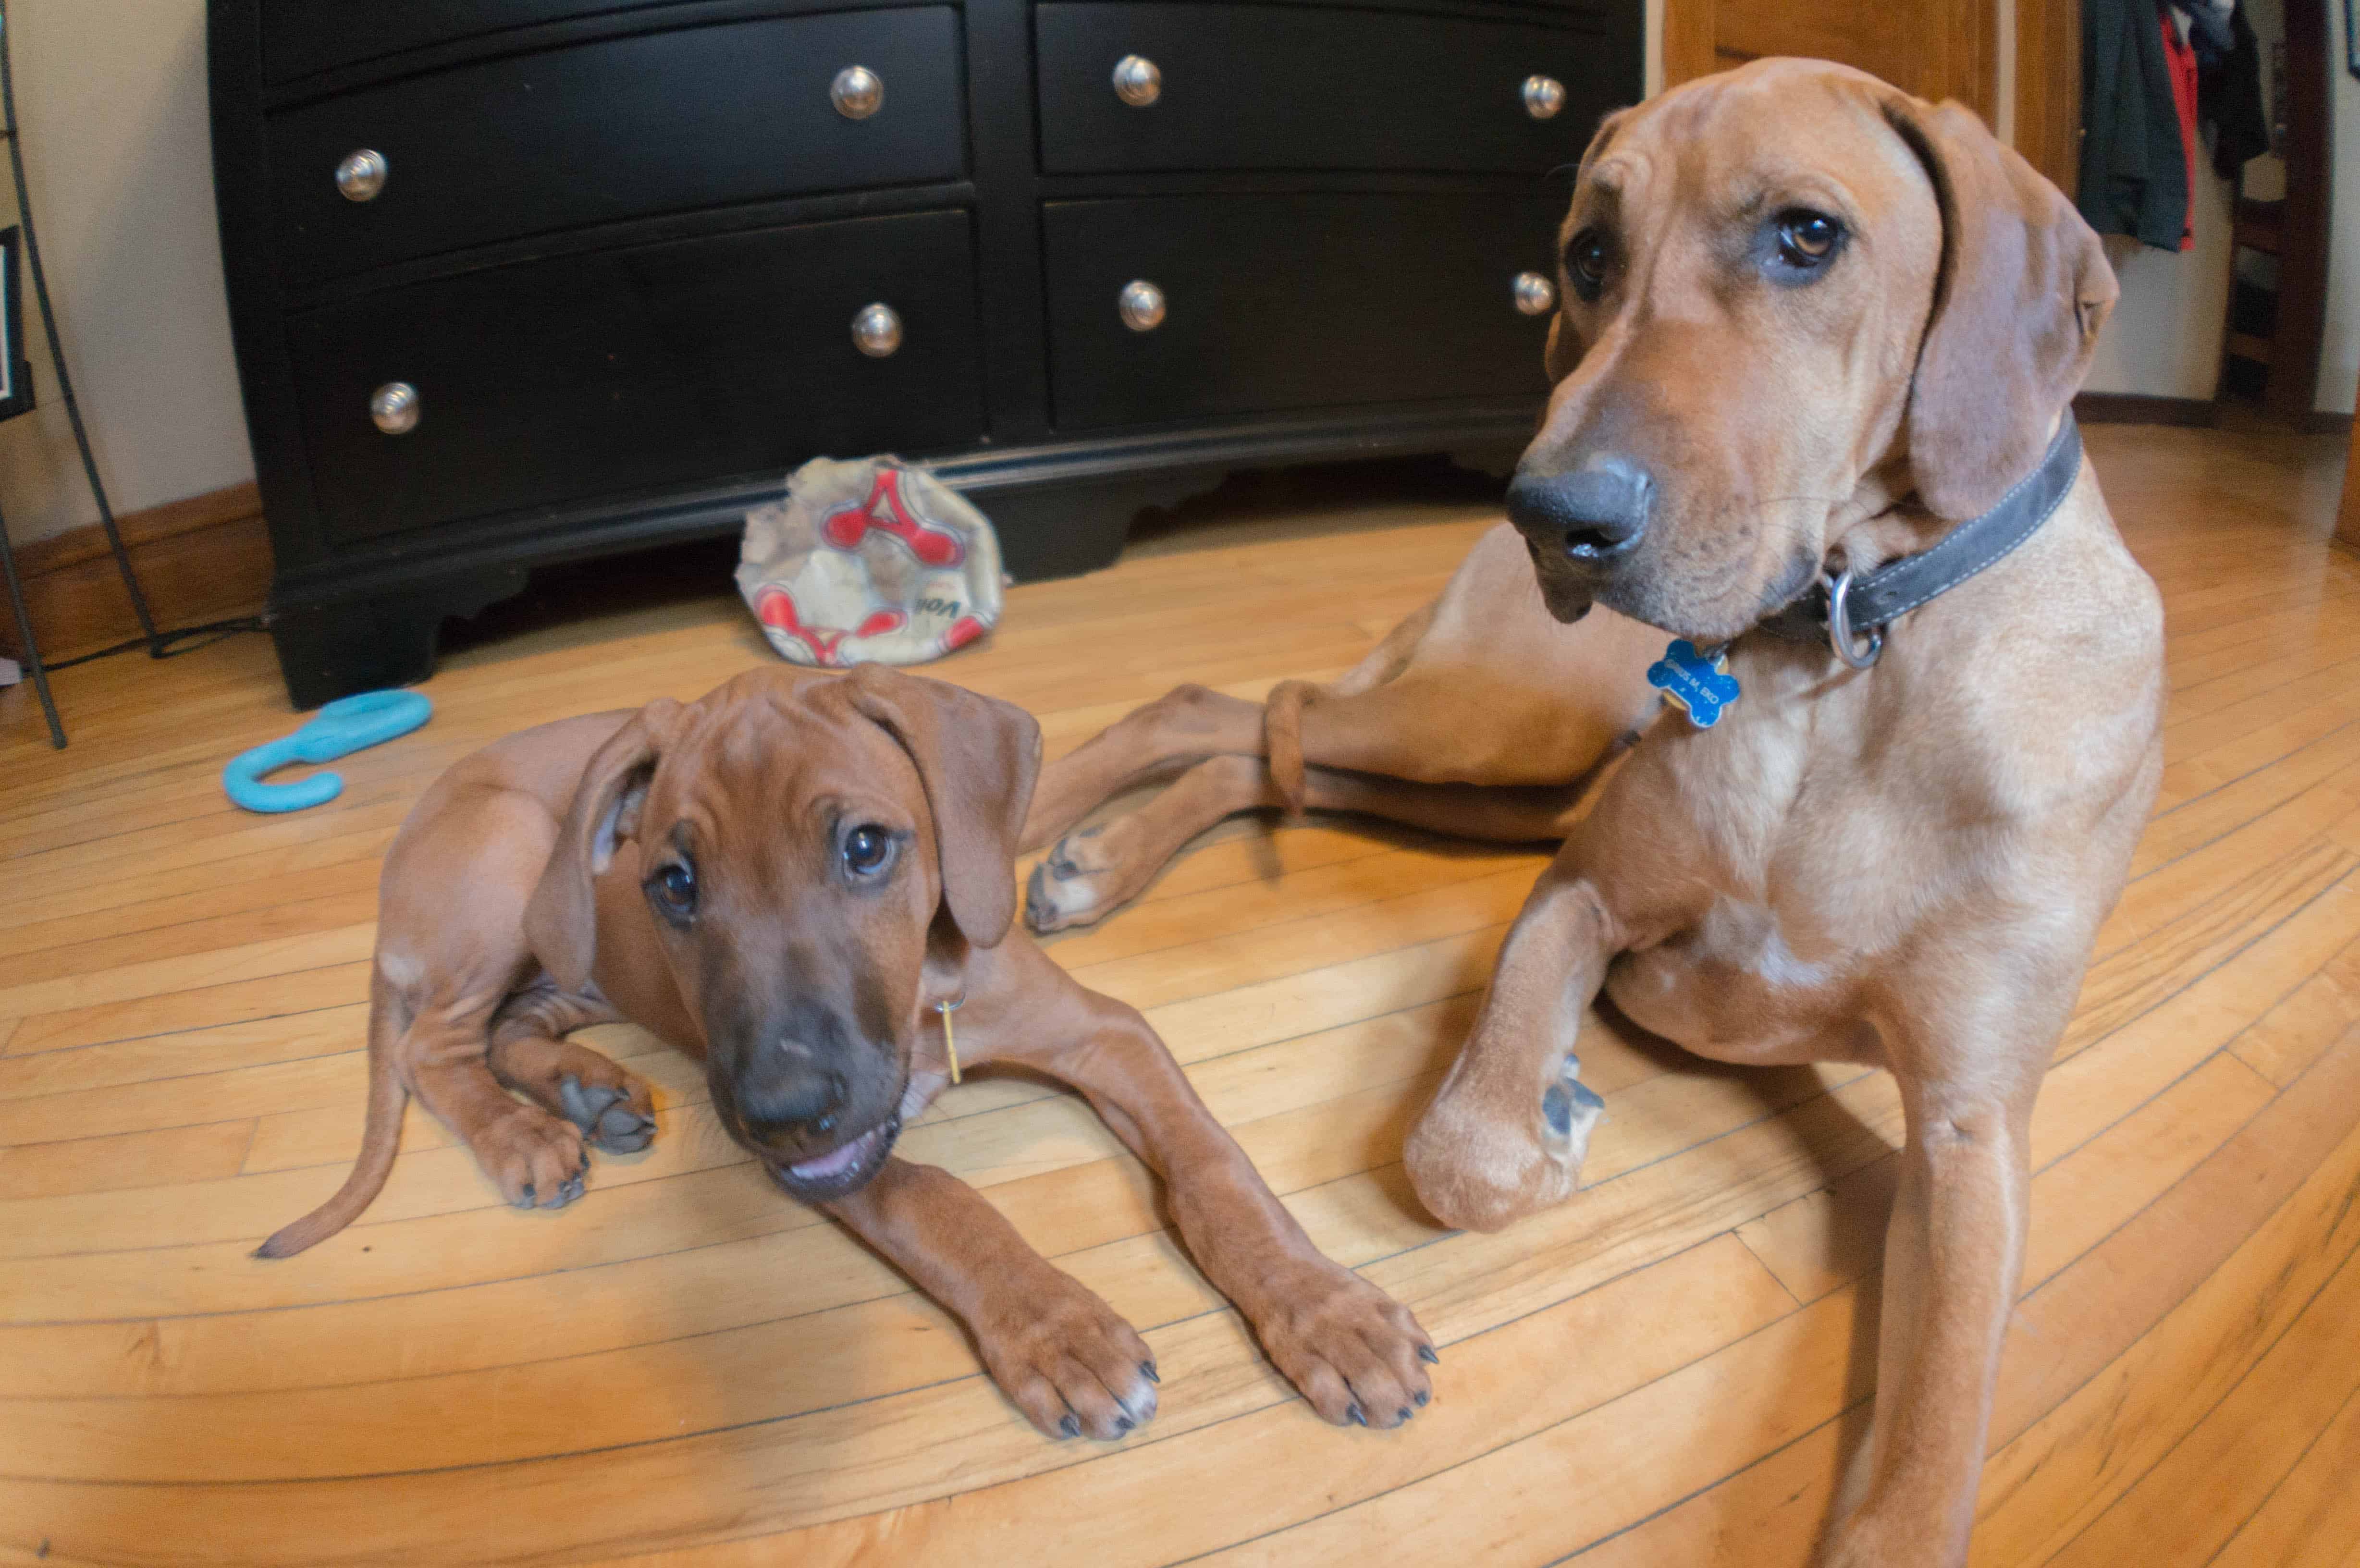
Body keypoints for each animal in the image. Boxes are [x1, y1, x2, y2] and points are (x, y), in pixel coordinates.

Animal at [258, 666, 1435, 1445]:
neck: (924, 1001)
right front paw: (1058, 1330)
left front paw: (1325, 1311)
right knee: (434, 1045)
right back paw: (524, 1136)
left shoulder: (1107, 1033)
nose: (780, 1106)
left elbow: (1213, 1170)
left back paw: (592, 1092)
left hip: (566, 951)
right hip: (512, 873)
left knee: (509, 1026)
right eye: (673, 881)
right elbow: (938, 1200)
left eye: (865, 846)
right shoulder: (818, 1158)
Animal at [1015, 55, 2162, 1558]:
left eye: (1807, 235)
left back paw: (1086, 850)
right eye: (1587, 257)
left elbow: (1929, 1454)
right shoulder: (1577, 894)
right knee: (1228, 703)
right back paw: (1049, 821)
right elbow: (1457, 1149)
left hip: (1508, 778)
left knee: (1269, 751)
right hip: (1502, 731)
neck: (1843, 659)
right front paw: (1542, 1112)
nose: (1547, 517)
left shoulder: (1971, 1134)